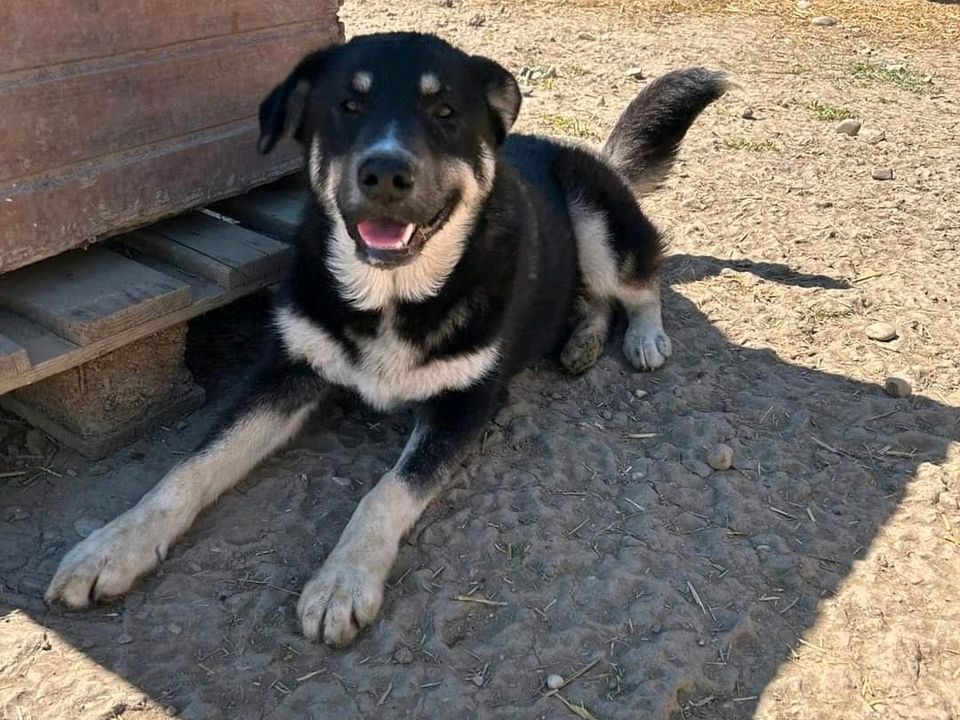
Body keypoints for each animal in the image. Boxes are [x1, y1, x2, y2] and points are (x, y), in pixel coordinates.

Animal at [41, 32, 724, 648]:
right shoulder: (286, 372)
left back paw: (643, 339)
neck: (391, 295)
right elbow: (193, 465)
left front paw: (343, 582)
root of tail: (594, 155)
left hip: (595, 219)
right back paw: (582, 340)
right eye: (348, 105)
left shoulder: (465, 404)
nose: (387, 173)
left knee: (640, 283)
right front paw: (114, 546)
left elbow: (386, 492)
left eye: (445, 113)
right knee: (594, 300)